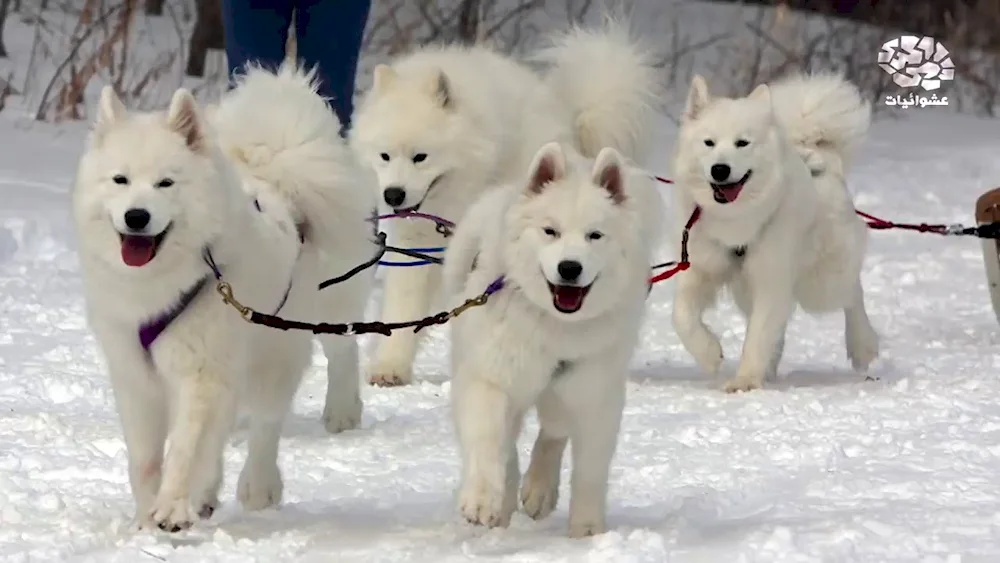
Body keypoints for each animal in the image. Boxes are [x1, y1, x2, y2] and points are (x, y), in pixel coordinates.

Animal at [71, 67, 376, 532]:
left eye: (166, 182)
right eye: (120, 180)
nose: (136, 217)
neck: (163, 282)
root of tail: (278, 178)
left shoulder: (202, 371)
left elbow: (185, 446)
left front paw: (171, 508)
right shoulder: (135, 376)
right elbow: (144, 460)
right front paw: (146, 519)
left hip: (280, 345)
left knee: (283, 408)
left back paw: (268, 478)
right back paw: (208, 496)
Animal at [348, 23, 660, 392]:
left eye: (420, 157)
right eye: (384, 156)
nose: (393, 195)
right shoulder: (418, 246)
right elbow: (403, 306)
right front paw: (390, 365)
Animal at [440, 35, 664, 532]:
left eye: (595, 236)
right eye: (550, 231)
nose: (569, 269)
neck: (553, 328)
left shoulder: (595, 393)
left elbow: (589, 466)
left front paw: (587, 528)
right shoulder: (490, 377)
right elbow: (489, 439)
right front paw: (483, 500)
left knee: (553, 432)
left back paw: (538, 491)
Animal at [676, 72, 880, 394]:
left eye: (742, 143)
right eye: (708, 143)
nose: (720, 169)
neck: (736, 220)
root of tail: (819, 157)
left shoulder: (770, 280)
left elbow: (757, 335)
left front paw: (745, 380)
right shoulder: (700, 270)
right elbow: (682, 317)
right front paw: (709, 354)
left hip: (821, 284)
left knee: (852, 295)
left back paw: (862, 345)